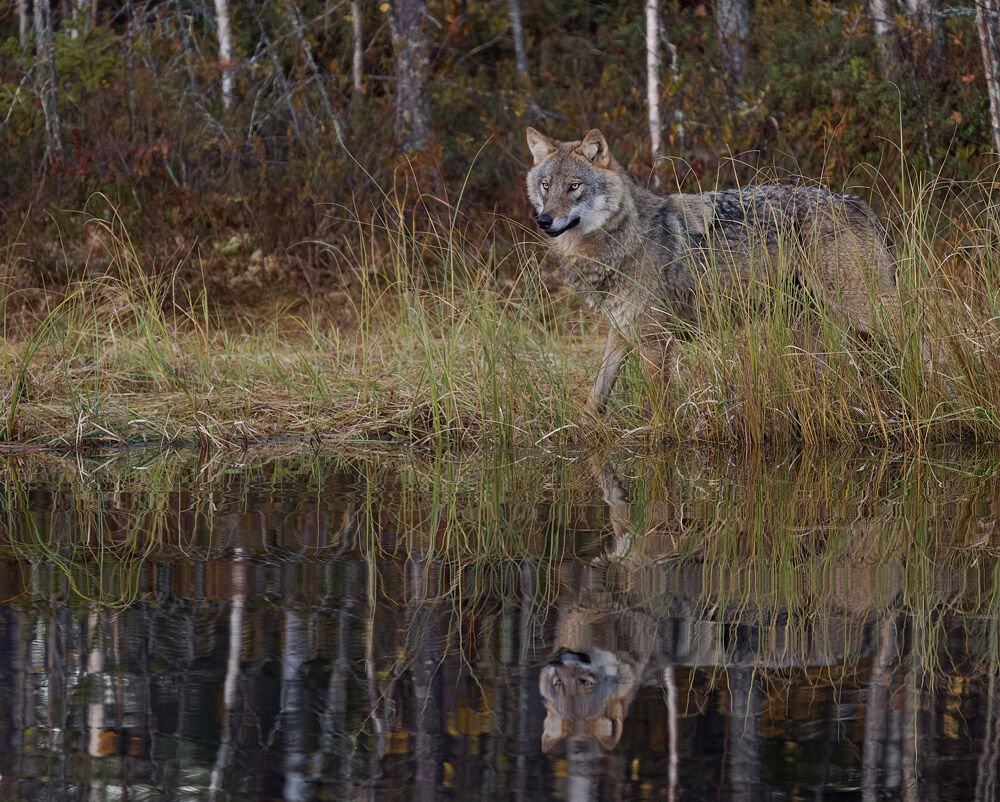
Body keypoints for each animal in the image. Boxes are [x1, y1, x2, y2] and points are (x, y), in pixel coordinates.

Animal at [524, 127, 901, 416]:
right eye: (546, 186)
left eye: (574, 186)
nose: (543, 220)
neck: (626, 237)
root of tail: (860, 205)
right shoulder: (622, 332)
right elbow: (595, 398)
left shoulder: (656, 342)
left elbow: (658, 411)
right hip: (809, 329)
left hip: (863, 312)